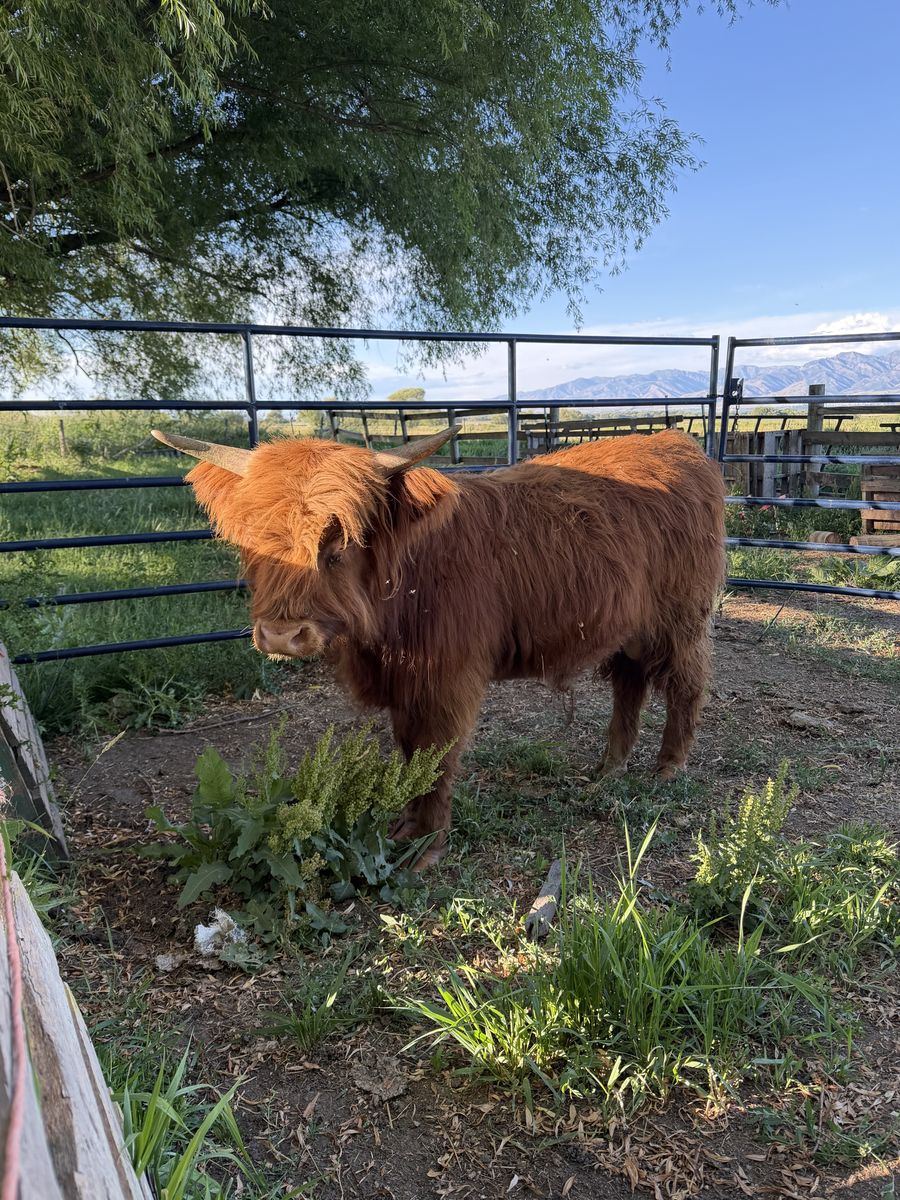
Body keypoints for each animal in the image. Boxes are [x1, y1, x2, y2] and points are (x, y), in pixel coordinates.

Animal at [152, 425, 725, 867]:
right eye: (251, 538)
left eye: (339, 542)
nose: (280, 635)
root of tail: (676, 444)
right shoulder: (405, 684)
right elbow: (410, 752)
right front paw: (405, 821)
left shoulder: (446, 678)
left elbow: (437, 756)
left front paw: (426, 846)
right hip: (629, 630)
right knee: (630, 686)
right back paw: (609, 769)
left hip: (680, 621)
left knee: (686, 684)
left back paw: (667, 767)